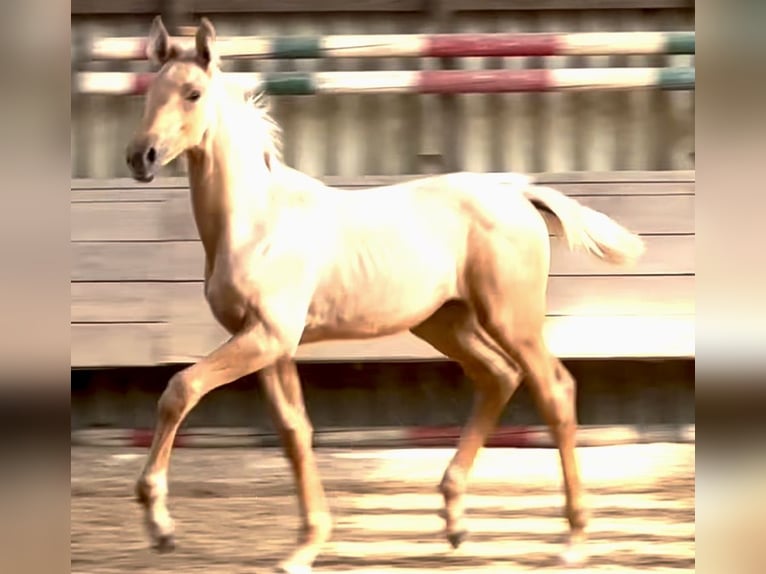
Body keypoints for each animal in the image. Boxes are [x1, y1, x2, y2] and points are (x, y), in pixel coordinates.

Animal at [126, 16, 648, 574]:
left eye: (193, 93)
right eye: (150, 93)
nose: (140, 157)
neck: (256, 221)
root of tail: (516, 193)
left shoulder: (266, 336)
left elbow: (180, 389)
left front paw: (159, 525)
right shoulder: (270, 345)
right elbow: (294, 432)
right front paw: (305, 546)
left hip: (512, 318)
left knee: (554, 390)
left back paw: (573, 539)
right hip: (446, 322)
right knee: (498, 377)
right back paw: (455, 519)